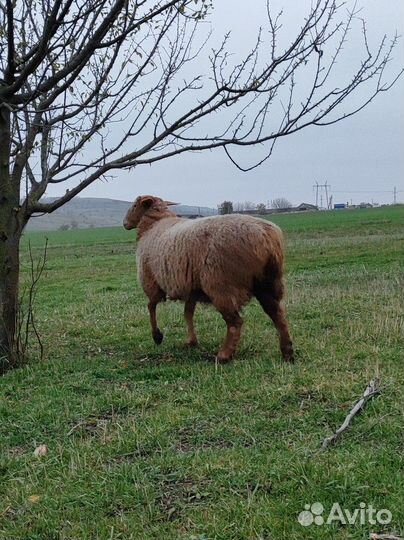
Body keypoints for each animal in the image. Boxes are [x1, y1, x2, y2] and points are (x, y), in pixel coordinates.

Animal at [123, 194, 294, 362]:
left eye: (134, 205)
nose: (125, 224)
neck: (154, 224)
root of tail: (265, 236)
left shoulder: (151, 281)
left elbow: (151, 306)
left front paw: (157, 336)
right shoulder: (190, 288)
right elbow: (188, 313)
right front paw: (191, 341)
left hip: (222, 285)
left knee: (235, 322)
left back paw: (224, 355)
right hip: (267, 282)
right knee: (277, 314)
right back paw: (287, 352)